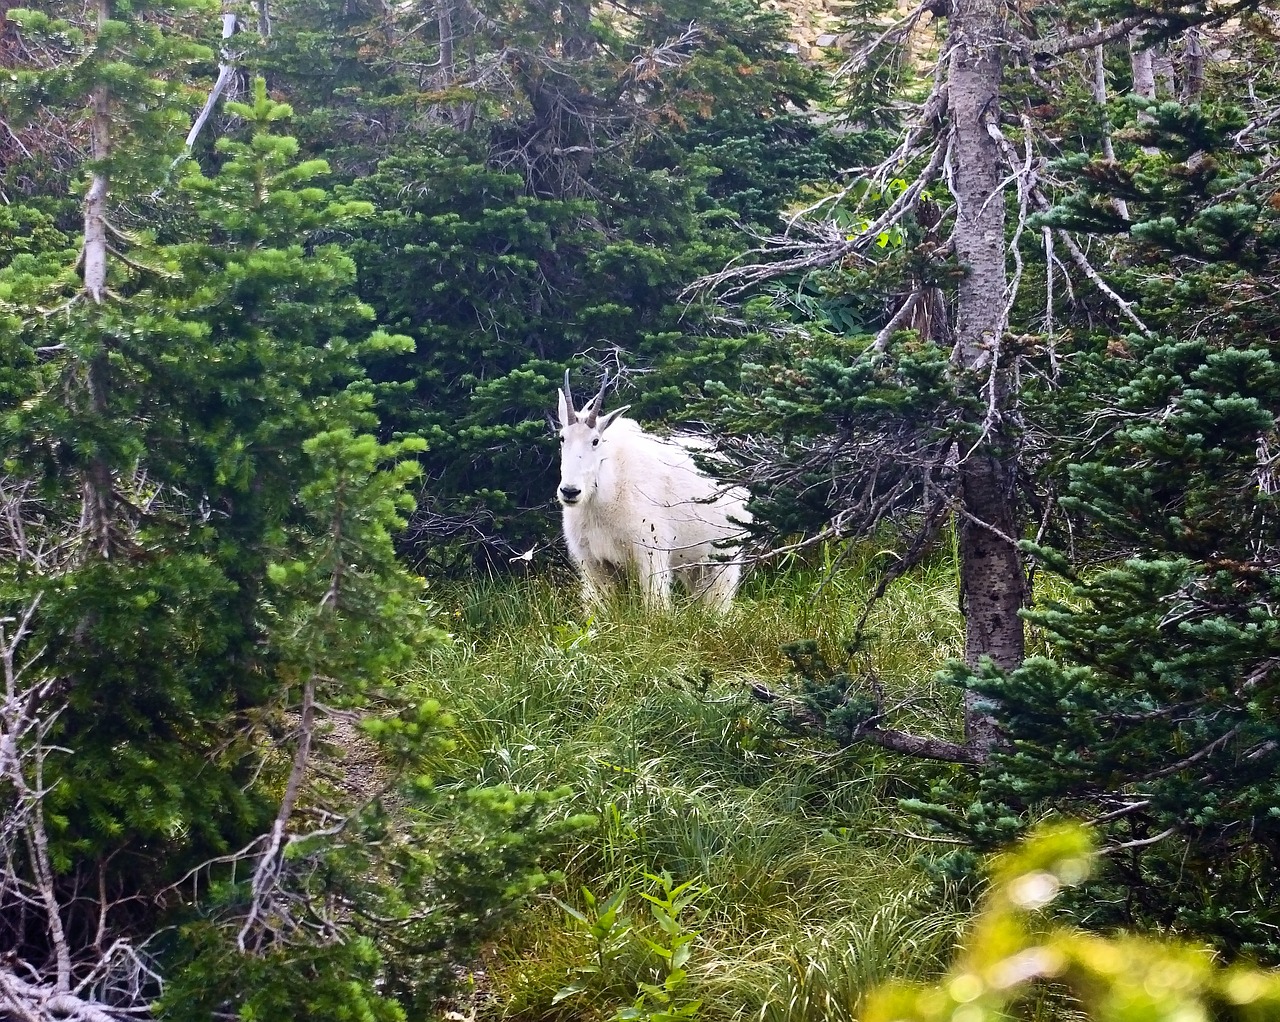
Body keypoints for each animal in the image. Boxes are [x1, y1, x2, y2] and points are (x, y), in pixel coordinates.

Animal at [552, 373, 747, 609]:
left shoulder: (651, 553)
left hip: (725, 557)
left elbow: (655, 604)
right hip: (695, 566)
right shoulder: (593, 563)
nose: (570, 491)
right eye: (562, 438)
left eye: (595, 441)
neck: (602, 498)